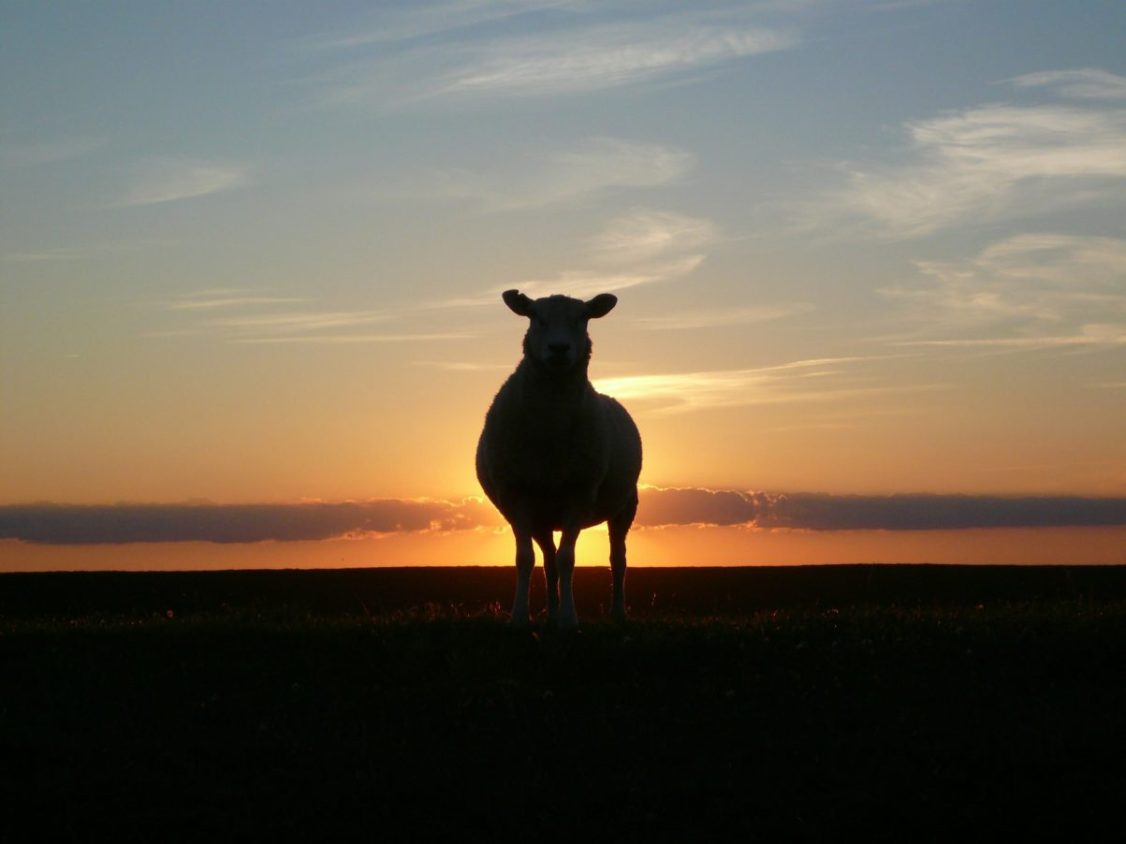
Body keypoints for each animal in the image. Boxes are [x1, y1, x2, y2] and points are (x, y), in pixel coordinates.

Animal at [476, 288, 643, 629]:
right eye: (535, 317)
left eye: (583, 318)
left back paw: (618, 612)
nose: (559, 348)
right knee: (548, 561)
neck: (550, 427)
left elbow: (568, 559)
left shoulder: (579, 494)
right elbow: (525, 559)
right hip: (542, 516)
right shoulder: (516, 494)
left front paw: (569, 618)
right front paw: (520, 617)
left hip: (625, 506)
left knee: (617, 559)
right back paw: (550, 613)